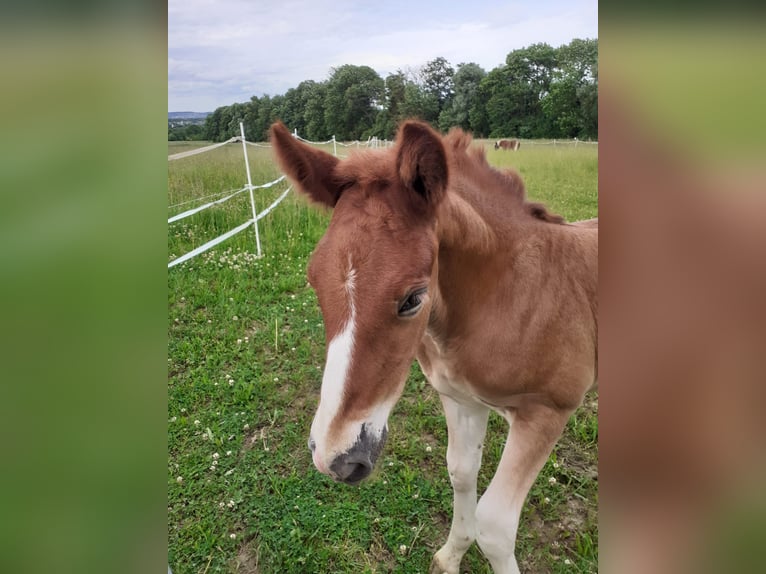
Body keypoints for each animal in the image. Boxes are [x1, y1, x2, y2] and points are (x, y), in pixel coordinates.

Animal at [270, 120, 597, 574]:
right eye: (313, 280)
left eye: (413, 298)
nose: (335, 456)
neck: (510, 295)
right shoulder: (462, 399)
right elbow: (461, 474)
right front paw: (450, 556)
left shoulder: (546, 413)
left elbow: (494, 527)